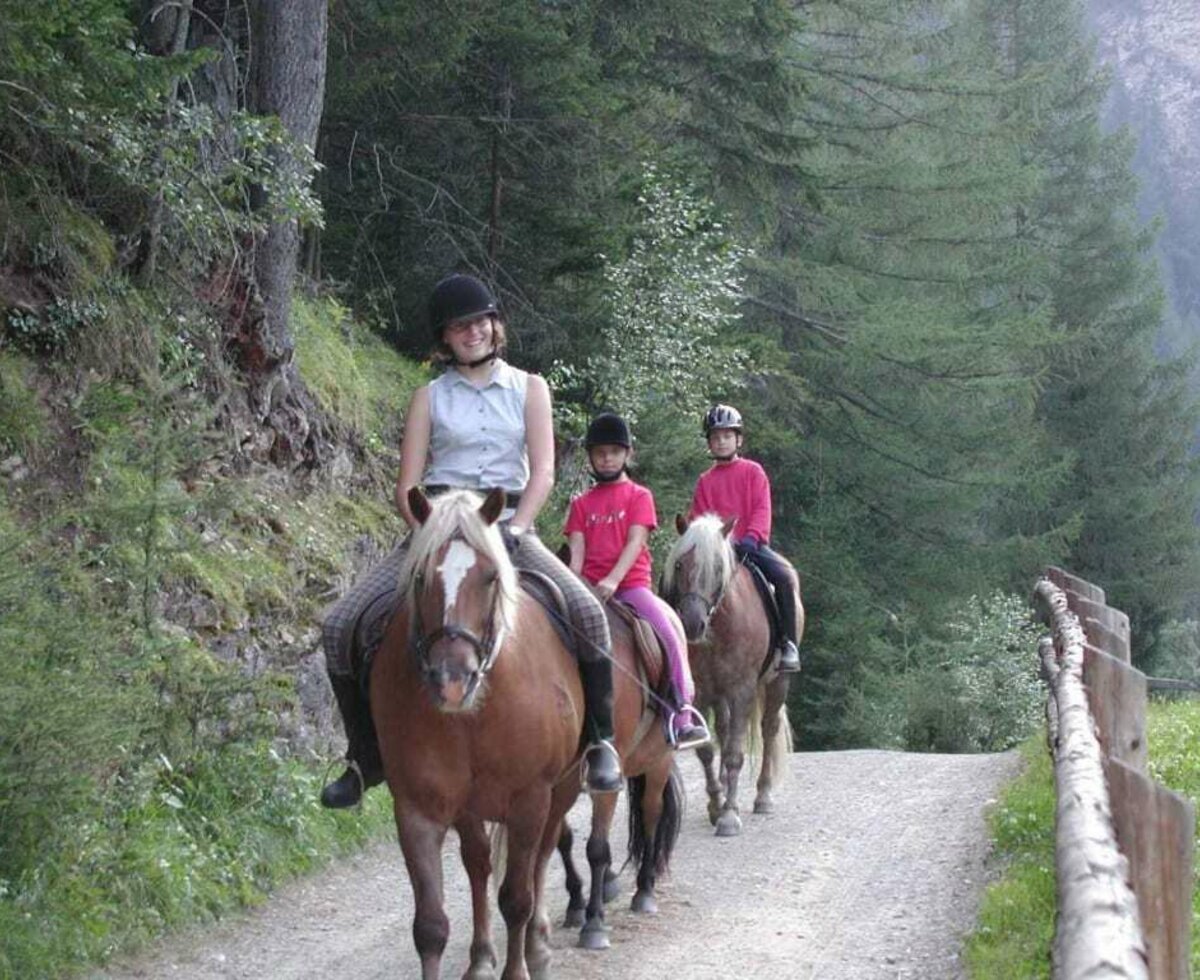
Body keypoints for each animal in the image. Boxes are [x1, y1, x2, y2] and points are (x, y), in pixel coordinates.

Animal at [372, 489, 583, 978]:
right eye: (420, 576)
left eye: (490, 577)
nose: (452, 680)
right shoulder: (418, 809)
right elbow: (430, 925)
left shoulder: (530, 799)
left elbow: (517, 898)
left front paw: (519, 966)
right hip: (470, 809)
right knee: (479, 864)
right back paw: (482, 957)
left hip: (562, 789)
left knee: (543, 856)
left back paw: (537, 947)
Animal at [662, 513, 801, 834]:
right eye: (679, 565)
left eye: (717, 568)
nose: (692, 623)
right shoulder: (701, 691)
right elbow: (707, 750)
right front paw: (716, 805)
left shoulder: (742, 691)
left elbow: (736, 754)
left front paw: (728, 816)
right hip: (719, 693)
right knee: (725, 731)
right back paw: (726, 789)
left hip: (778, 682)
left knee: (768, 727)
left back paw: (763, 797)